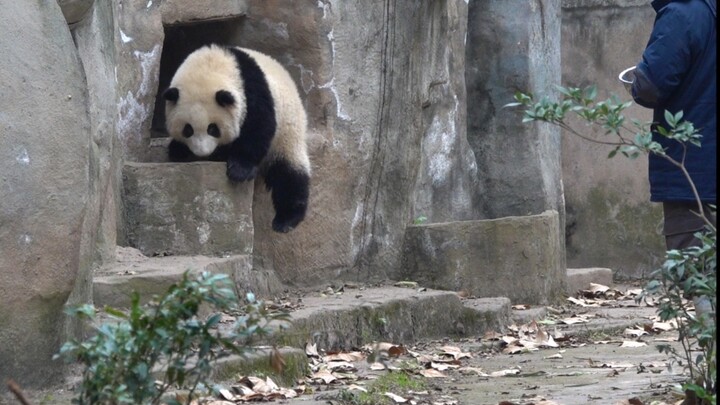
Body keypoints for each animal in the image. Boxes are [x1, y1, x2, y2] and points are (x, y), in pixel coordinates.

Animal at [165, 44, 310, 232]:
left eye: (213, 128)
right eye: (187, 129)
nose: (203, 152)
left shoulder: (253, 89)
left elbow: (259, 127)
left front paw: (240, 170)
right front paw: (177, 150)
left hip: (287, 131)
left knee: (288, 174)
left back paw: (286, 220)